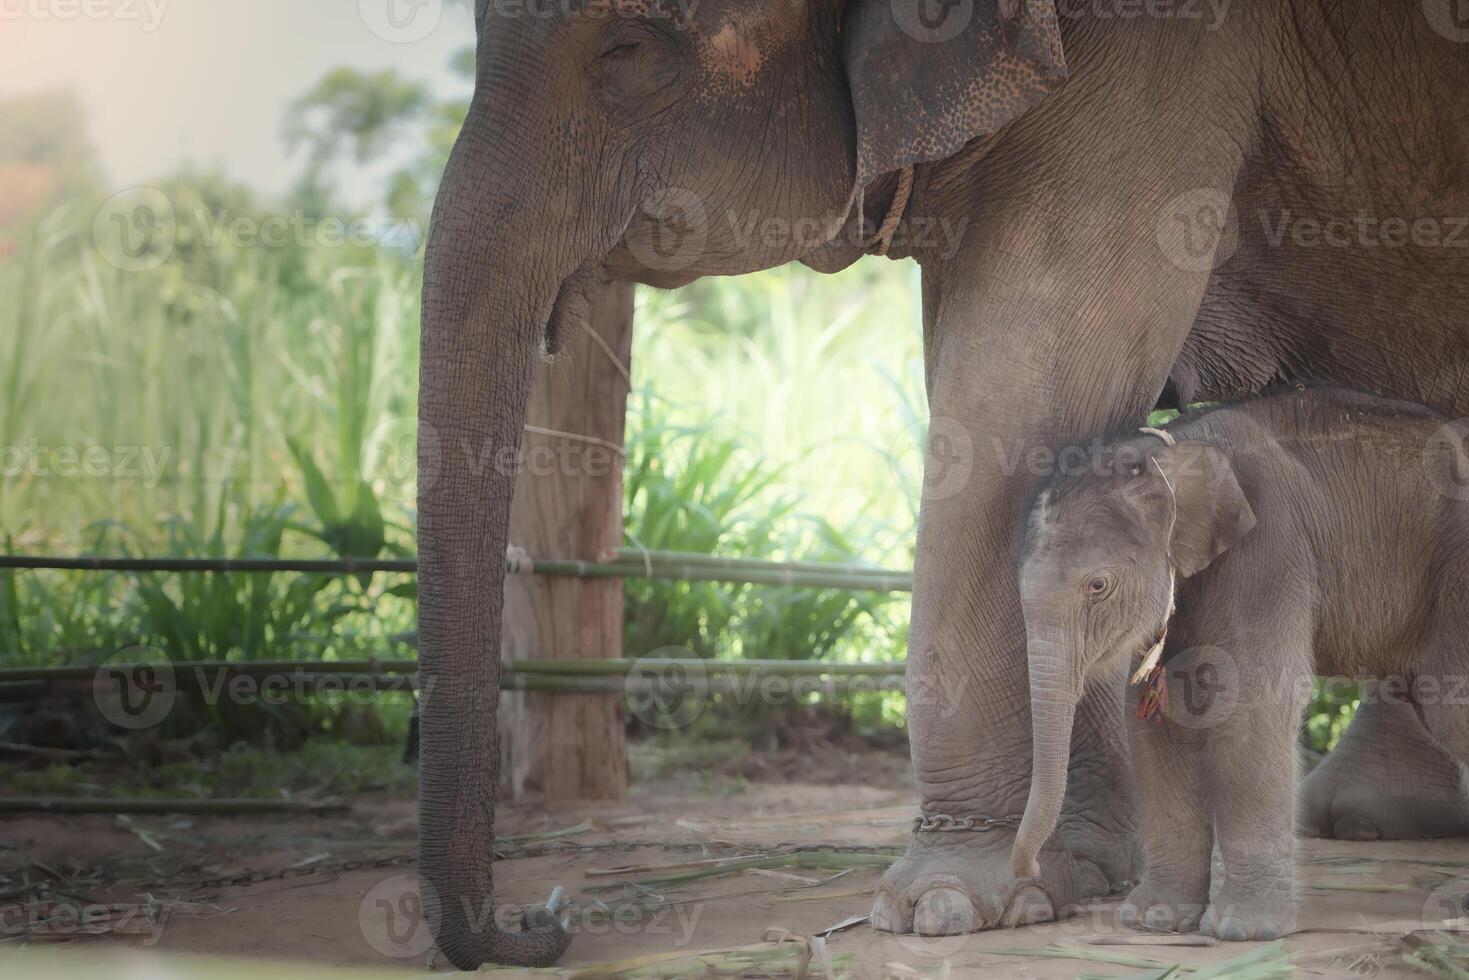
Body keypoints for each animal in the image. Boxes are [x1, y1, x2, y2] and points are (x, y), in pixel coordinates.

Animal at [1010, 387, 1469, 940]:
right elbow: (1158, 721)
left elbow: (1250, 707)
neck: (1169, 449)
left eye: (1097, 585)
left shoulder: (1270, 549)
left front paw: (1241, 930)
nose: (1029, 870)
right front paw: (1154, 919)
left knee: (1451, 707)